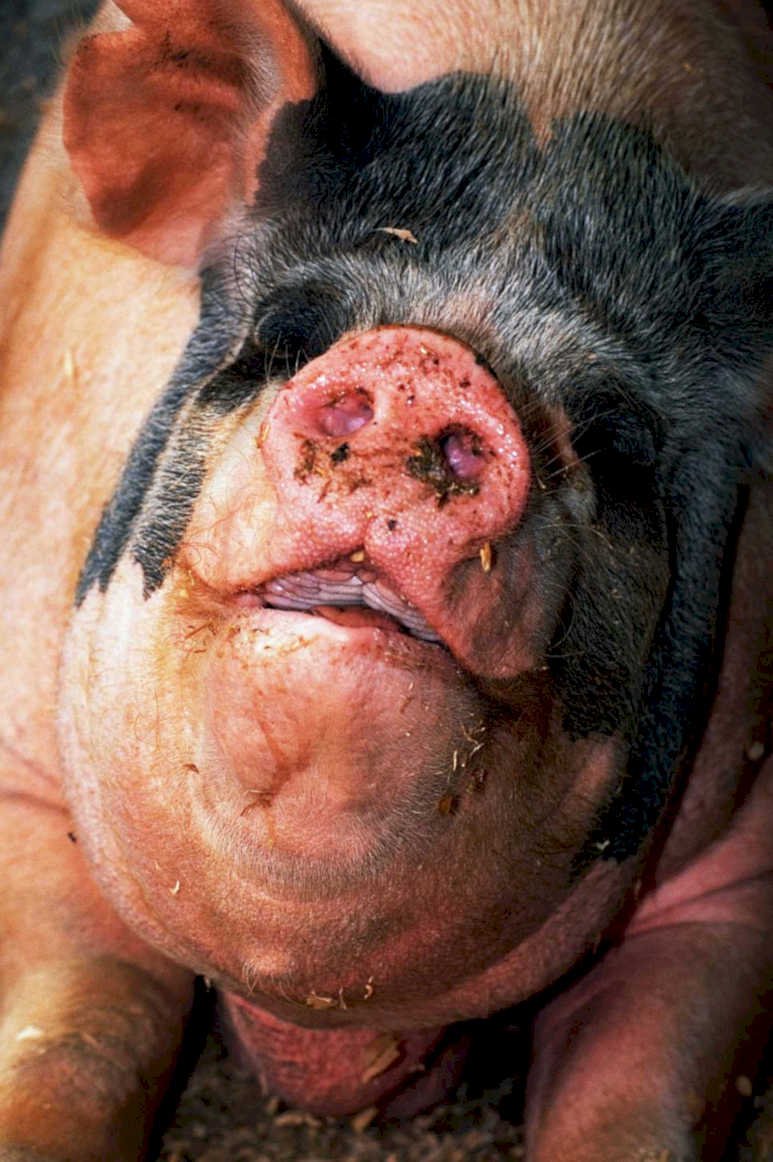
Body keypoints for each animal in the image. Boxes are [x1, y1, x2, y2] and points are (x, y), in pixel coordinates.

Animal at [0, 0, 770, 1159]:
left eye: (617, 444)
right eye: (286, 337)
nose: (427, 368)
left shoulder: (735, 877)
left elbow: (636, 1116)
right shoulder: (23, 771)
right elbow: (79, 1043)